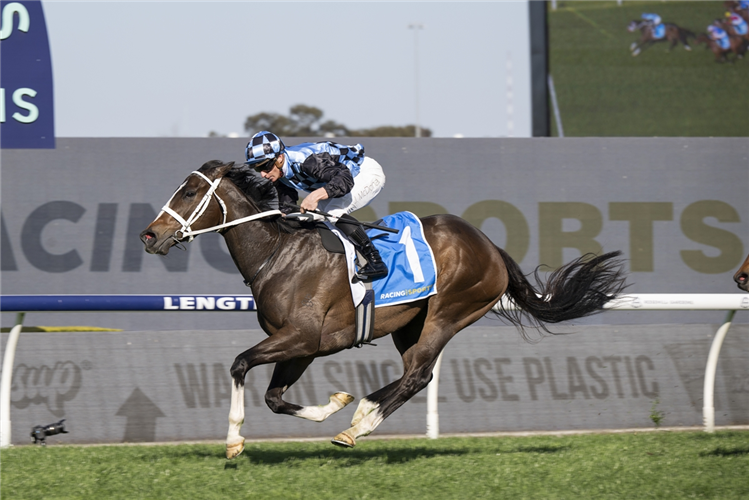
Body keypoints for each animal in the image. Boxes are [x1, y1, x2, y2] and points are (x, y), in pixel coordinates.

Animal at [140, 160, 628, 459]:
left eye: (188, 193)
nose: (149, 235)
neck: (279, 254)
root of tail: (489, 245)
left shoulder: (302, 336)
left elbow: (240, 364)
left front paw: (233, 440)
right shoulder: (302, 345)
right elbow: (274, 398)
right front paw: (336, 403)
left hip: (448, 313)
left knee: (419, 375)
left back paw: (358, 427)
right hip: (409, 325)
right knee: (414, 371)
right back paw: (361, 412)